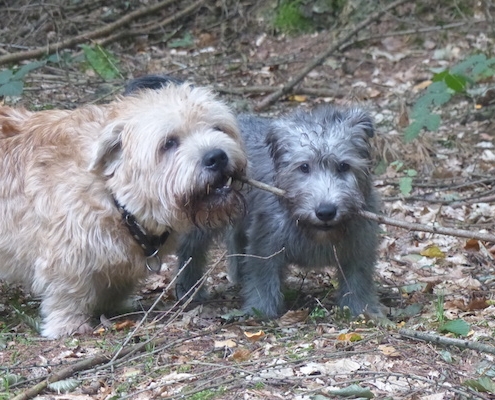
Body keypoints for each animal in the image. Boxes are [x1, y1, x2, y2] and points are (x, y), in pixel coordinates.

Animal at [0, 83, 247, 338]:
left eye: (218, 128)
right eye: (169, 143)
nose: (216, 156)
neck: (111, 193)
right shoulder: (65, 255)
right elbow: (68, 291)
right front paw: (68, 324)